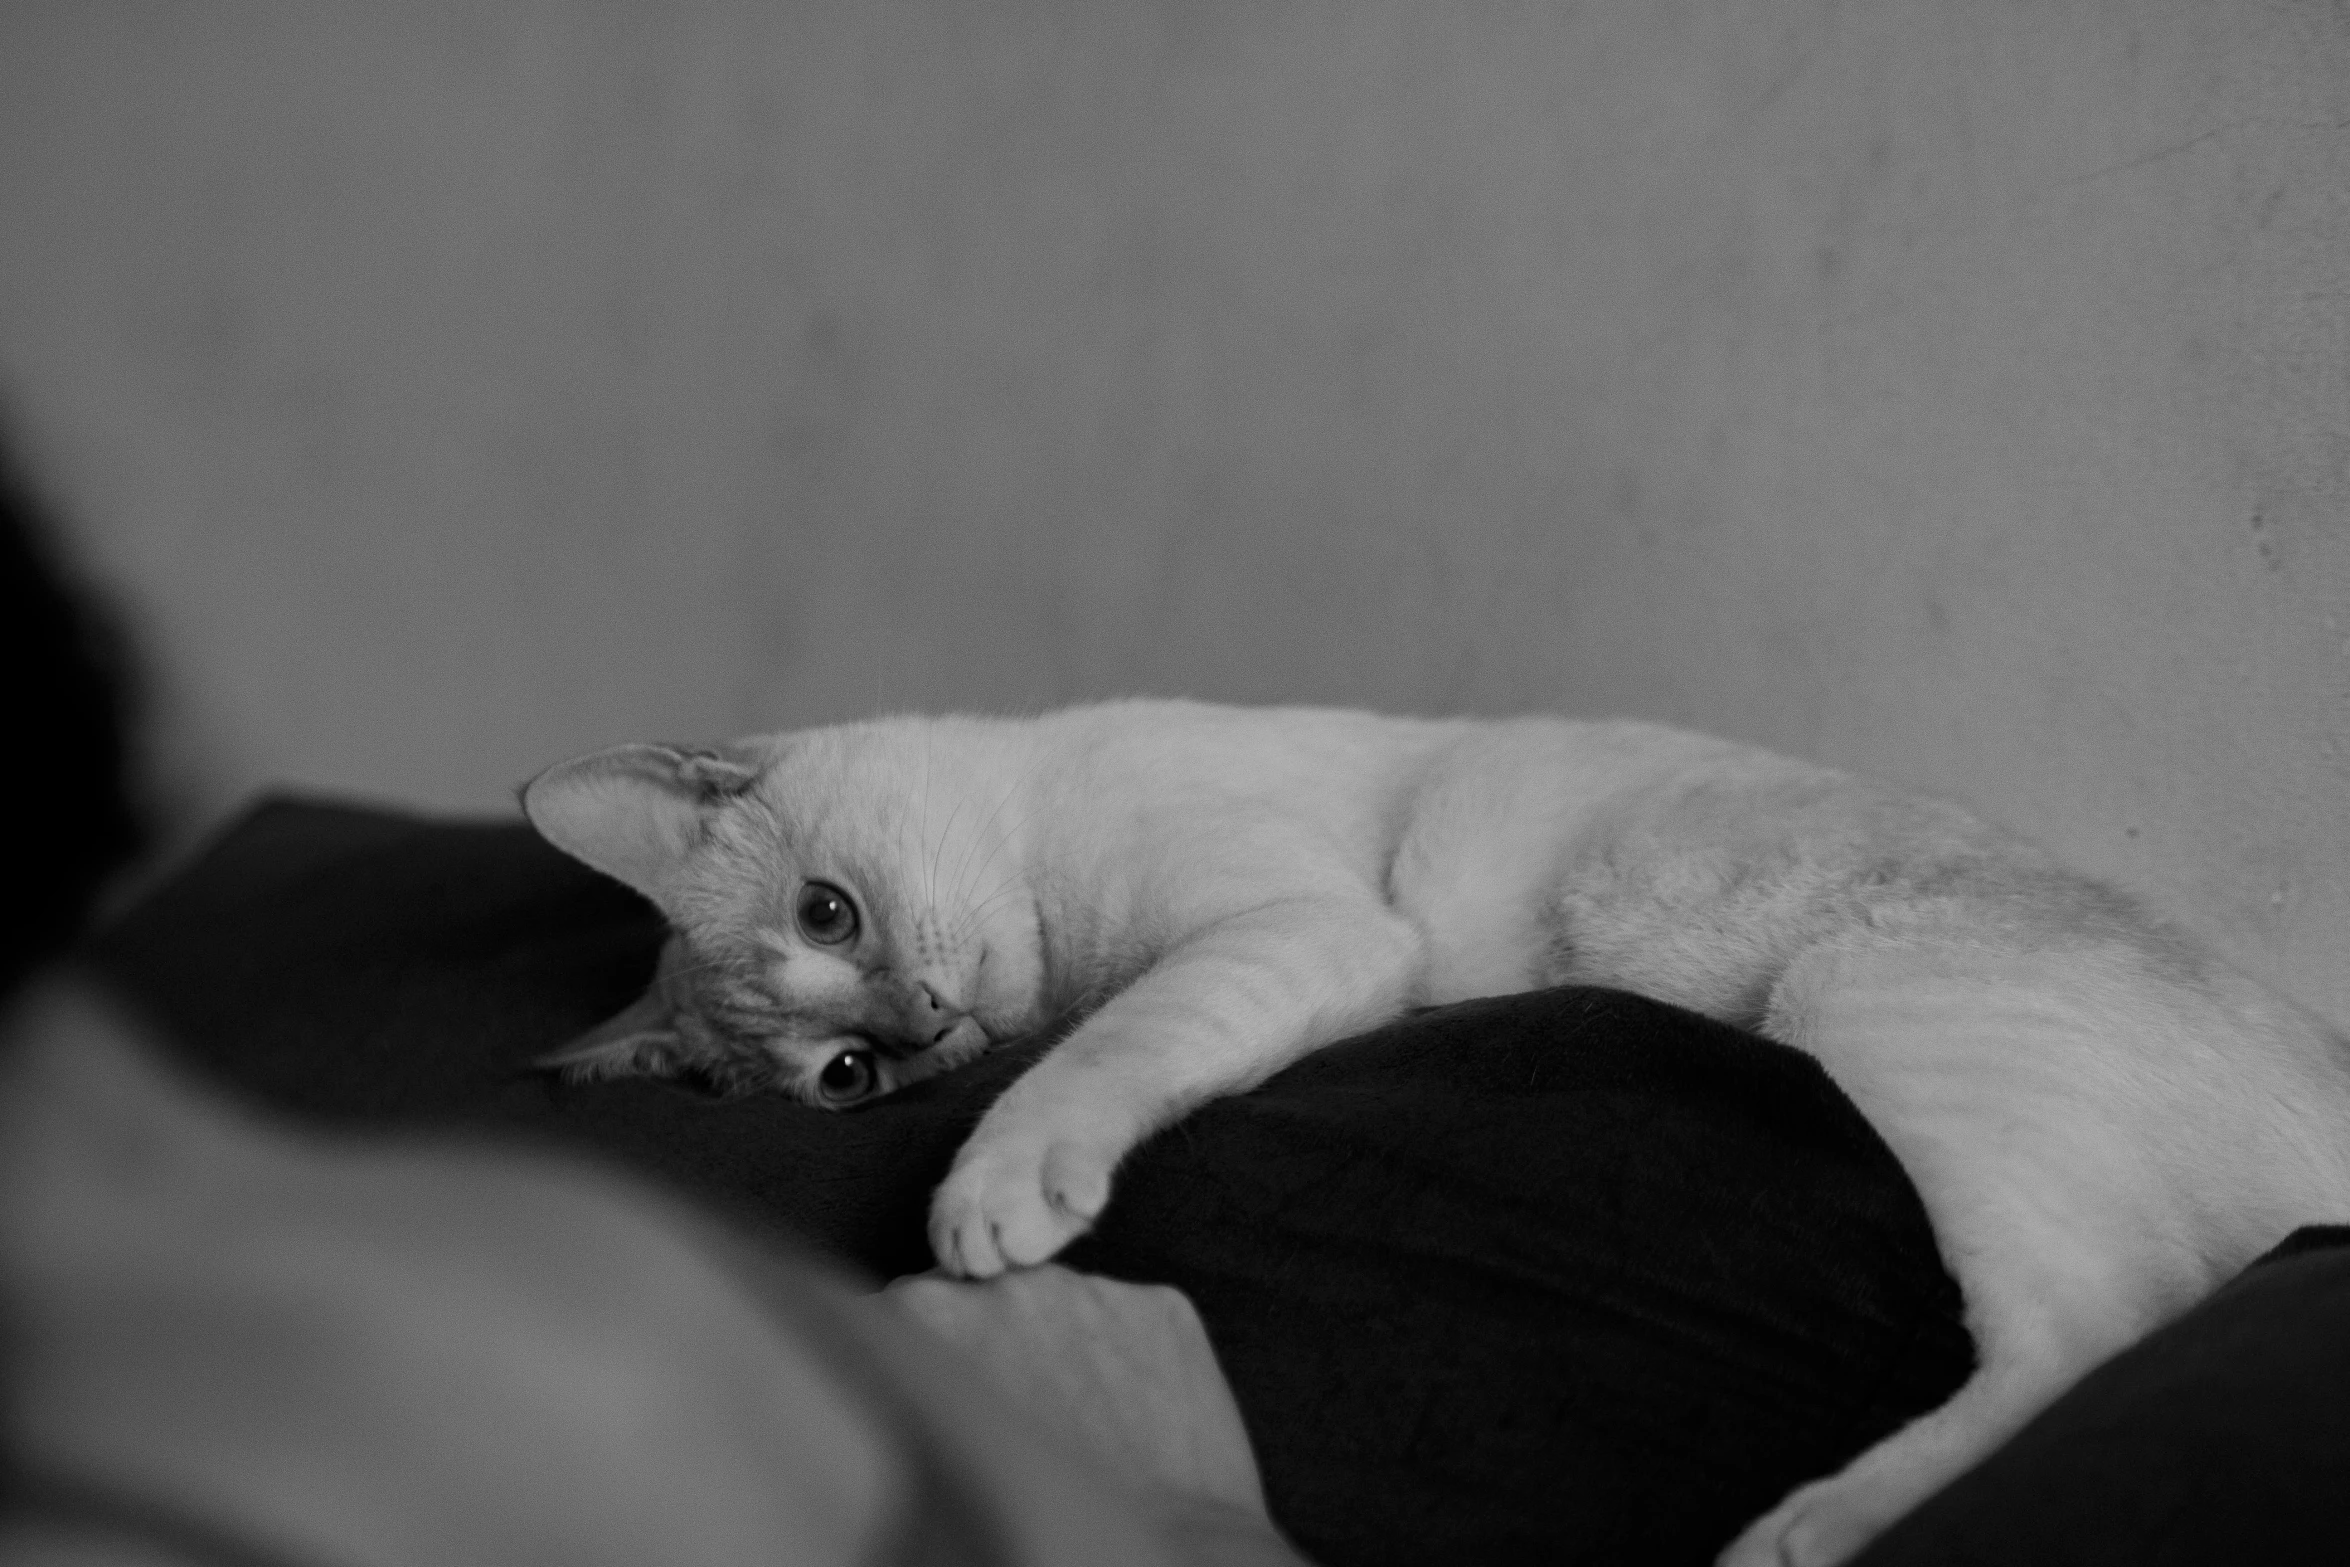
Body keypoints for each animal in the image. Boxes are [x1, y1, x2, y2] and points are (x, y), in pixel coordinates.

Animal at [524, 704, 2350, 1567]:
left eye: (830, 912)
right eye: (842, 1078)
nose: (915, 1028)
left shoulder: (1283, 932)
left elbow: (1100, 1061)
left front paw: (990, 1194)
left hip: (1879, 1016)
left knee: (2093, 1329)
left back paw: (1806, 1529)